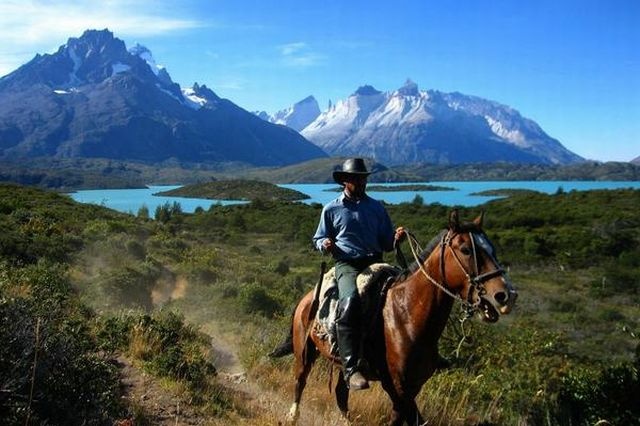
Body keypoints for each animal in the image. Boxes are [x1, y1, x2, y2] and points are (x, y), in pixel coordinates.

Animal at [276, 211, 516, 424]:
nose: (506, 295)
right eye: (466, 250)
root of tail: (307, 298)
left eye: (492, 249)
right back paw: (292, 416)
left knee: (341, 393)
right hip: (304, 351)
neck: (406, 315)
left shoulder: (413, 386)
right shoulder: (396, 386)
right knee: (300, 380)